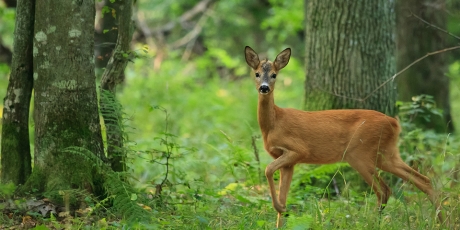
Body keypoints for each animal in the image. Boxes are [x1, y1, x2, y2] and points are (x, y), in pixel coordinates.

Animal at [244, 45, 442, 227]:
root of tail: (394, 123)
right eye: (257, 73)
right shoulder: (288, 162)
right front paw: (282, 212)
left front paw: (279, 207)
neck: (274, 123)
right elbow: (283, 194)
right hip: (387, 153)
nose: (264, 88)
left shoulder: (298, 150)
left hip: (359, 153)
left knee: (384, 190)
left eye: (274, 75)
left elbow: (268, 170)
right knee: (422, 180)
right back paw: (440, 219)